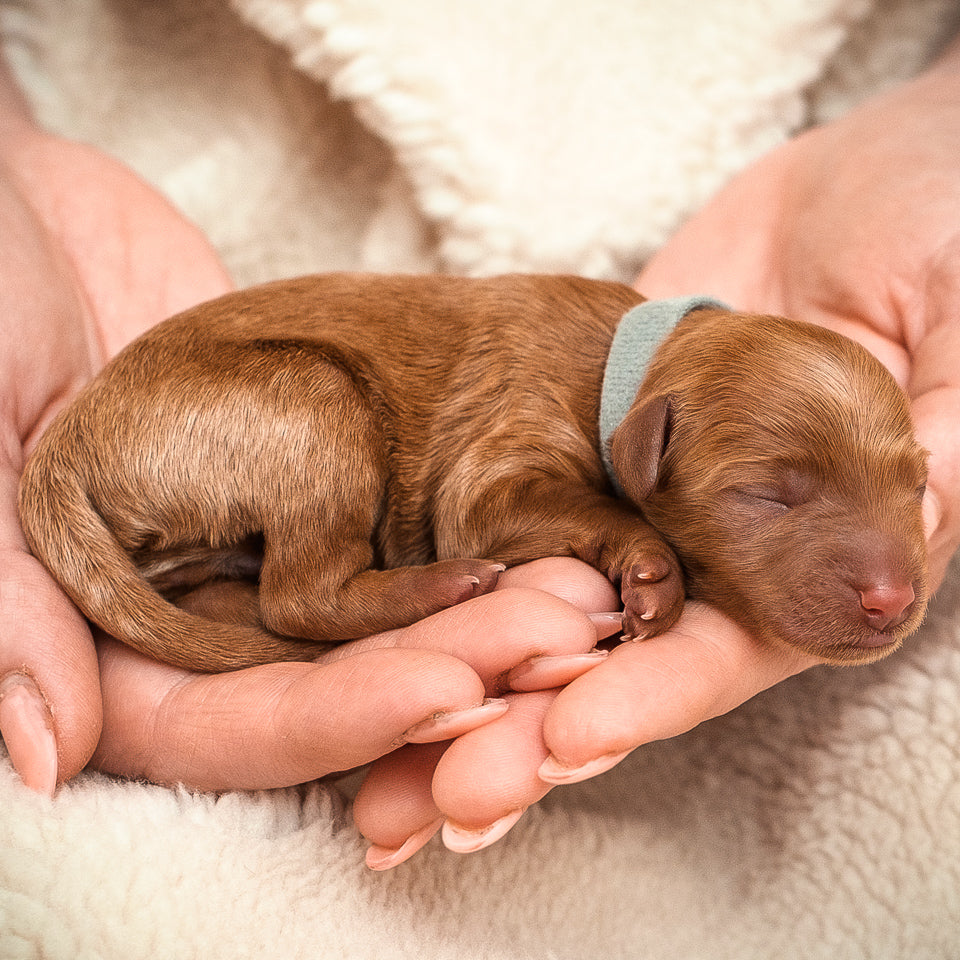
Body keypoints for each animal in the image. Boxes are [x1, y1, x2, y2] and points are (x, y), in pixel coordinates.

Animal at [16, 274, 928, 672]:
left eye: (918, 486)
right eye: (767, 494)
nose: (894, 601)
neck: (621, 369)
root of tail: (64, 441)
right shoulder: (497, 458)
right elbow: (571, 507)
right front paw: (650, 574)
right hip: (312, 400)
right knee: (302, 596)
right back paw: (441, 587)